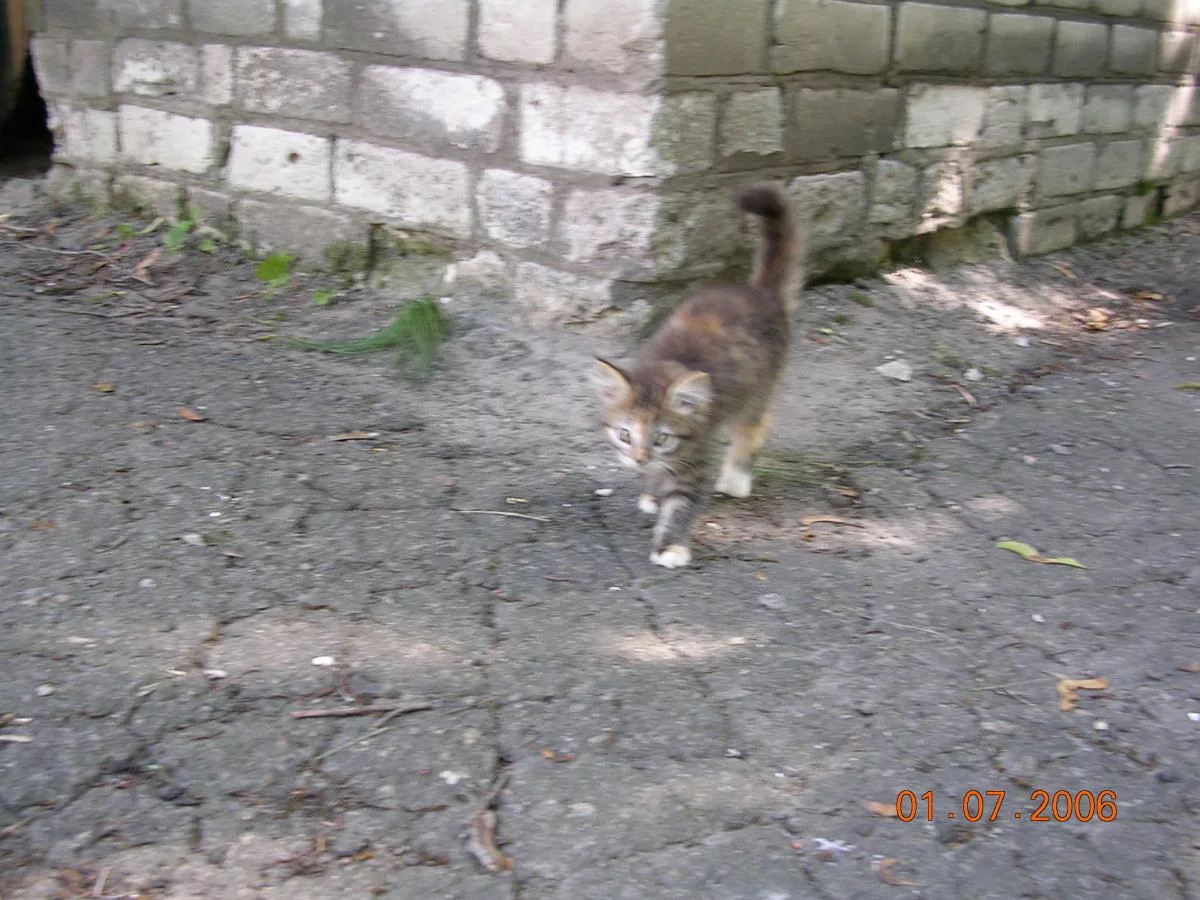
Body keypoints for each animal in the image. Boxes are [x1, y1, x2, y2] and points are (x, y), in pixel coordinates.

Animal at [592, 182, 802, 569]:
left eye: (661, 437)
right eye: (625, 434)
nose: (639, 458)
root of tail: (758, 292)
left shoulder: (697, 450)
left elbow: (682, 501)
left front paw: (670, 546)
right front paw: (654, 493)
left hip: (758, 388)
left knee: (754, 426)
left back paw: (736, 478)